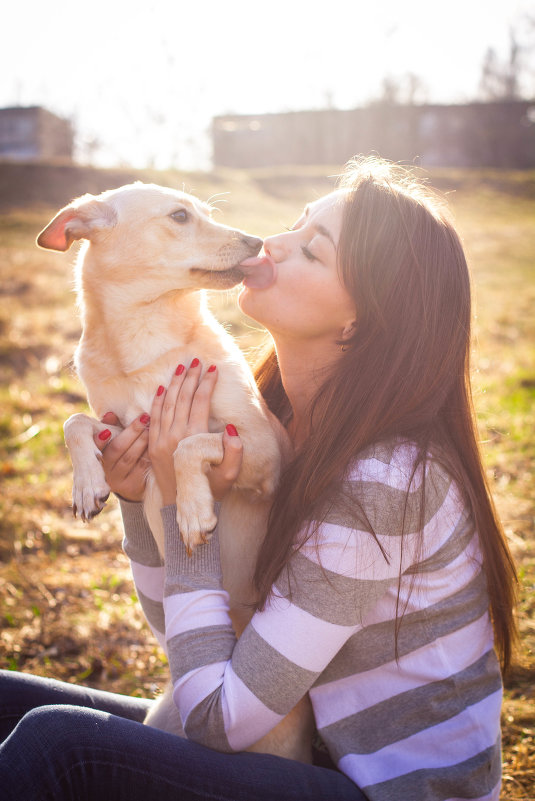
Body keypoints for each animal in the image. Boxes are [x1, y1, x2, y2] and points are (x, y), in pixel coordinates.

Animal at [36, 183, 314, 764]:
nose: (258, 241)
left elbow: (188, 443)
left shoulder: (266, 452)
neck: (147, 341)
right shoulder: (122, 430)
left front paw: (192, 512)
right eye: (180, 216)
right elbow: (75, 423)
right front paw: (88, 484)